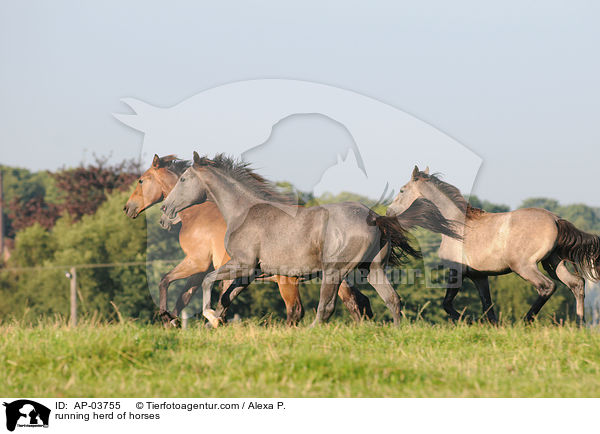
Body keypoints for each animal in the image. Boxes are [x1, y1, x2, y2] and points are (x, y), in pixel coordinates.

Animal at [123, 154, 372, 324]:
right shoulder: (211, 270)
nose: (127, 208)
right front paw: (177, 321)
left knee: (299, 311)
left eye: (141, 181)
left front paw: (171, 319)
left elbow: (166, 281)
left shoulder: (198, 262)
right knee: (357, 302)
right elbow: (191, 297)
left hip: (289, 280)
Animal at [161, 153, 460, 326]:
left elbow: (209, 282)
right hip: (373, 269)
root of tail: (375, 217)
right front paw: (215, 322)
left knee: (326, 308)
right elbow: (226, 299)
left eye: (184, 179)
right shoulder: (251, 273)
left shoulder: (242, 264)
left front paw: (208, 316)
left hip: (334, 272)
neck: (243, 212)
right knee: (392, 300)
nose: (165, 210)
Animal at [384, 166, 600, 322]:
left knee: (547, 287)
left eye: (402, 190)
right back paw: (579, 325)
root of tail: (555, 219)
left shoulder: (457, 271)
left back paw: (525, 322)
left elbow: (447, 304)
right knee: (577, 284)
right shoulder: (480, 277)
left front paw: (468, 321)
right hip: (553, 263)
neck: (456, 225)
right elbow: (488, 307)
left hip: (524, 266)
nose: (388, 212)